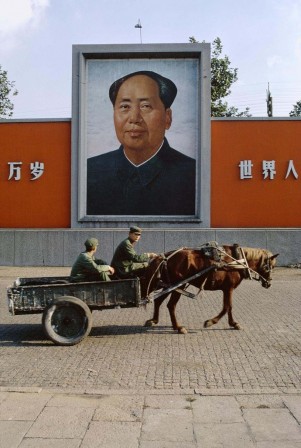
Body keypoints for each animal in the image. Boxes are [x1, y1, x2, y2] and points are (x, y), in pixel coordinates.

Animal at [139, 245, 278, 332]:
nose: (269, 283)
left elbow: (228, 307)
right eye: (270, 266)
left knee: (158, 301)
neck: (237, 261)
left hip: (169, 285)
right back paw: (178, 327)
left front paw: (232, 323)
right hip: (178, 285)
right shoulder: (229, 288)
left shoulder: (226, 289)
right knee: (171, 305)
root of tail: (166, 256)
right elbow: (227, 307)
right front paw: (212, 322)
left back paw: (153, 320)